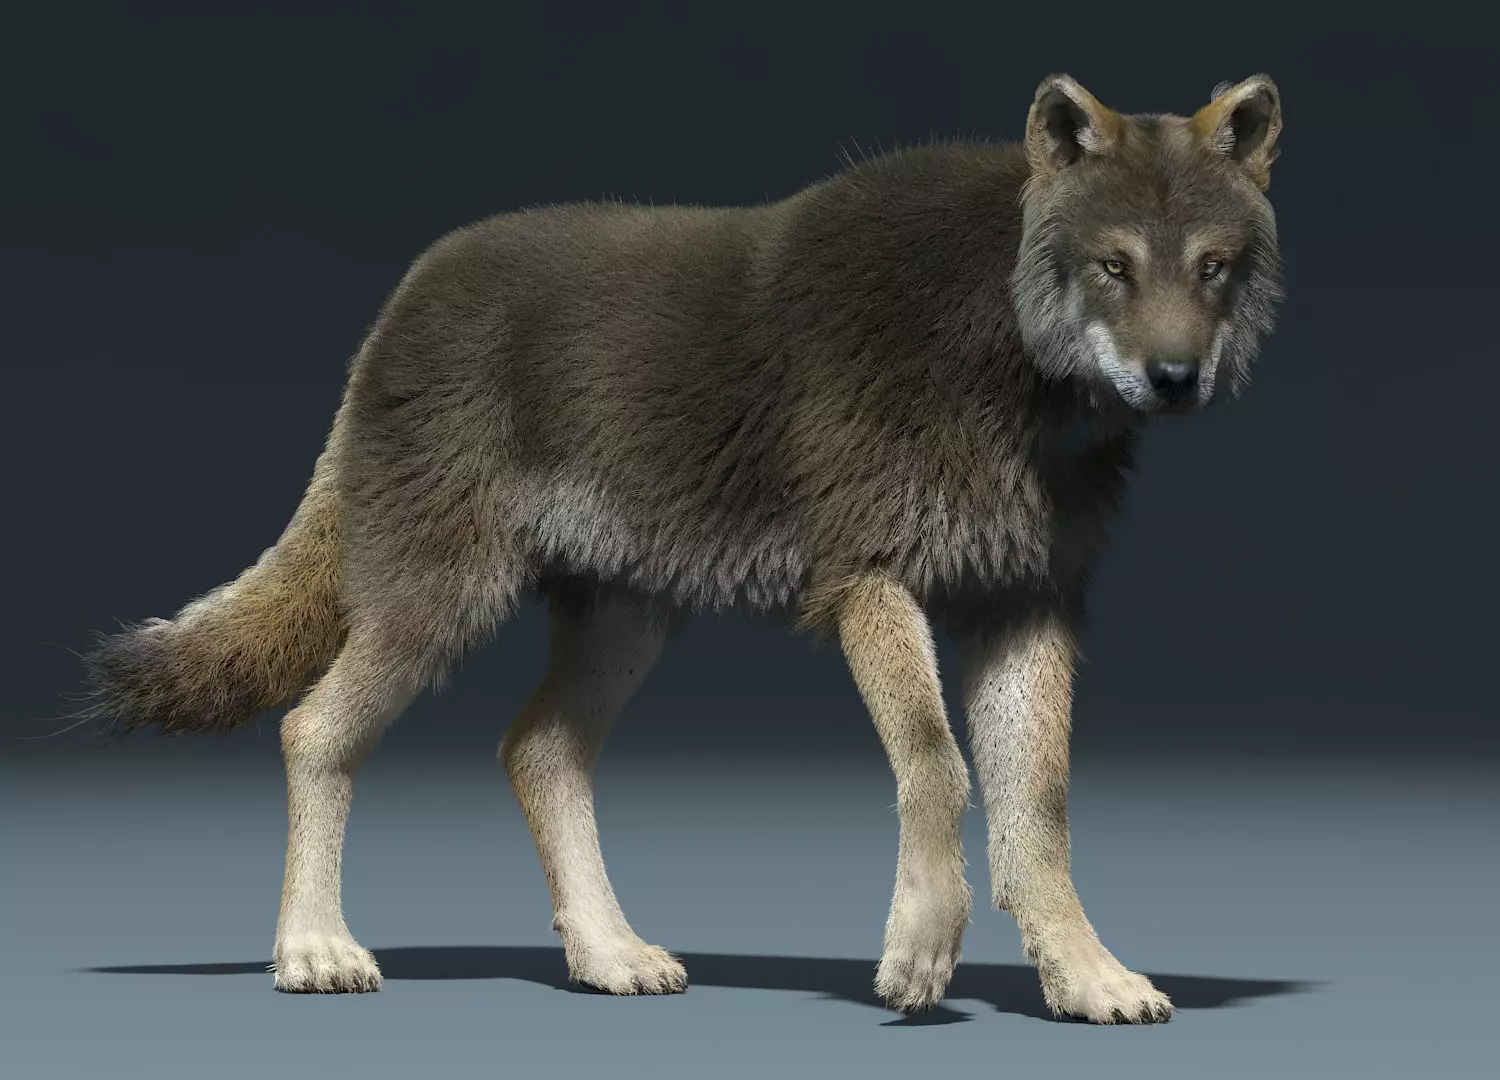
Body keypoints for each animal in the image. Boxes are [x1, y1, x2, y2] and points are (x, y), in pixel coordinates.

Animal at [75, 73, 1284, 1023]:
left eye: (1212, 267)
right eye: (1115, 267)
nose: (1175, 379)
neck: (1005, 358)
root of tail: (397, 307)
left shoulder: (1027, 603)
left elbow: (1040, 812)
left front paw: (1086, 978)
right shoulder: (871, 581)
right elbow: (938, 769)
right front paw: (918, 951)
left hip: (629, 621)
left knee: (536, 750)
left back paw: (609, 956)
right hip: (440, 607)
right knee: (313, 730)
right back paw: (314, 952)